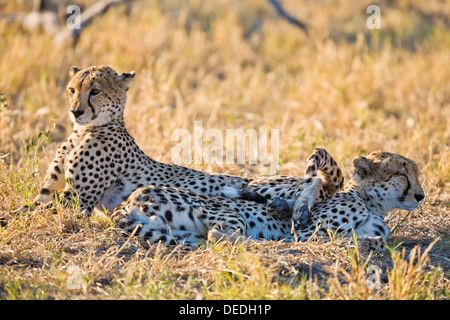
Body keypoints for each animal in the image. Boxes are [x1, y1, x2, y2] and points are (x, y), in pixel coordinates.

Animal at [13, 65, 344, 222]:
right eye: (72, 90)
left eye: (95, 91)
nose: (75, 111)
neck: (84, 132)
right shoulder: (49, 192)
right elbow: (28, 208)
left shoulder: (77, 200)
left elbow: (37, 213)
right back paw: (281, 207)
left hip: (262, 183)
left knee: (312, 183)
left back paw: (296, 209)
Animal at [112, 150, 426, 250]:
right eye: (402, 173)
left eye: (416, 172)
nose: (421, 195)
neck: (371, 203)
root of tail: (126, 203)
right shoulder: (308, 232)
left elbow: (375, 238)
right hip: (227, 213)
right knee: (218, 236)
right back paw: (265, 243)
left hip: (181, 233)